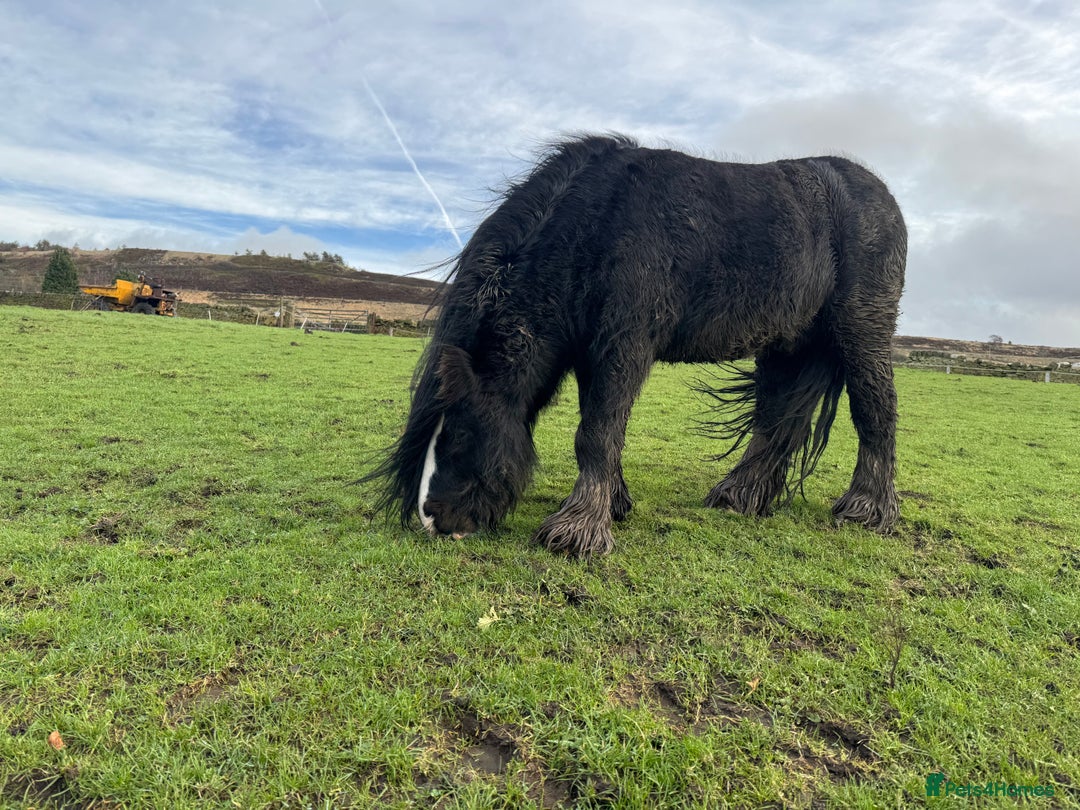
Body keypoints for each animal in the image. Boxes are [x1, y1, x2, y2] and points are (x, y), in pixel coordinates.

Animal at [365, 134, 906, 558]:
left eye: (457, 434)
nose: (433, 518)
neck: (596, 226)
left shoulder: (624, 345)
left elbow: (596, 433)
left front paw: (577, 532)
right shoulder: (592, 352)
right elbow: (599, 427)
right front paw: (613, 504)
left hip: (862, 332)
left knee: (874, 412)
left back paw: (866, 509)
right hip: (787, 346)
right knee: (774, 421)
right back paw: (739, 497)